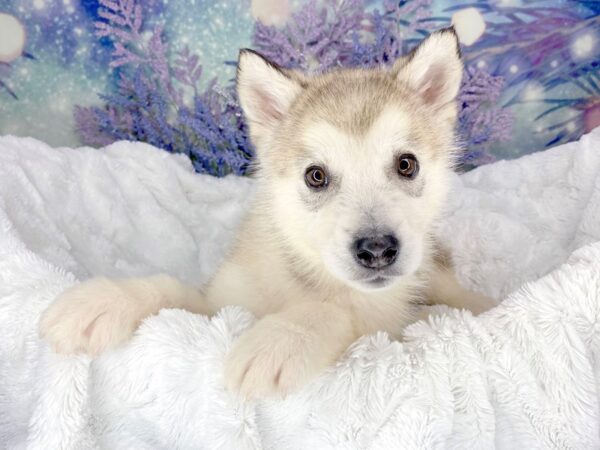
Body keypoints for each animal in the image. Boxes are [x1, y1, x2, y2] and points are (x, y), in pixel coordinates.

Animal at [41, 29, 492, 398]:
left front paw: (282, 339)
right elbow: (171, 289)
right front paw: (104, 301)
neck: (309, 277)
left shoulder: (382, 325)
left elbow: (336, 311)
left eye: (406, 165)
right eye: (316, 176)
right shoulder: (219, 303)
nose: (378, 250)